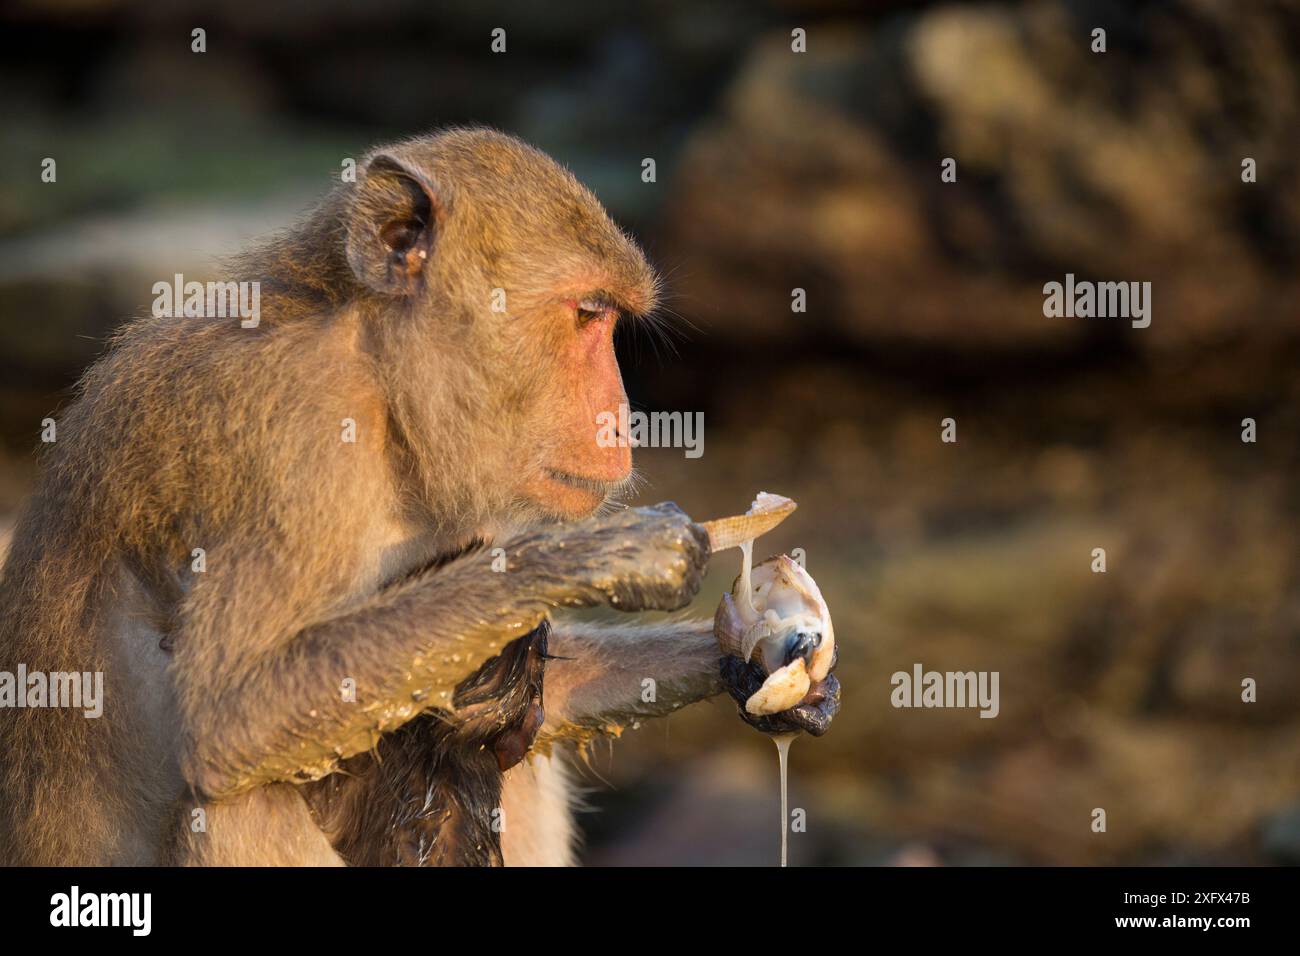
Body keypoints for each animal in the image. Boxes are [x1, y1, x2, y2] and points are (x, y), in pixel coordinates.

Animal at [0, 128, 837, 868]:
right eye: (587, 314)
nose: (621, 418)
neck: (378, 381)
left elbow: (535, 703)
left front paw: (755, 662)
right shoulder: (294, 435)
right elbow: (228, 720)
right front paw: (595, 556)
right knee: (241, 795)